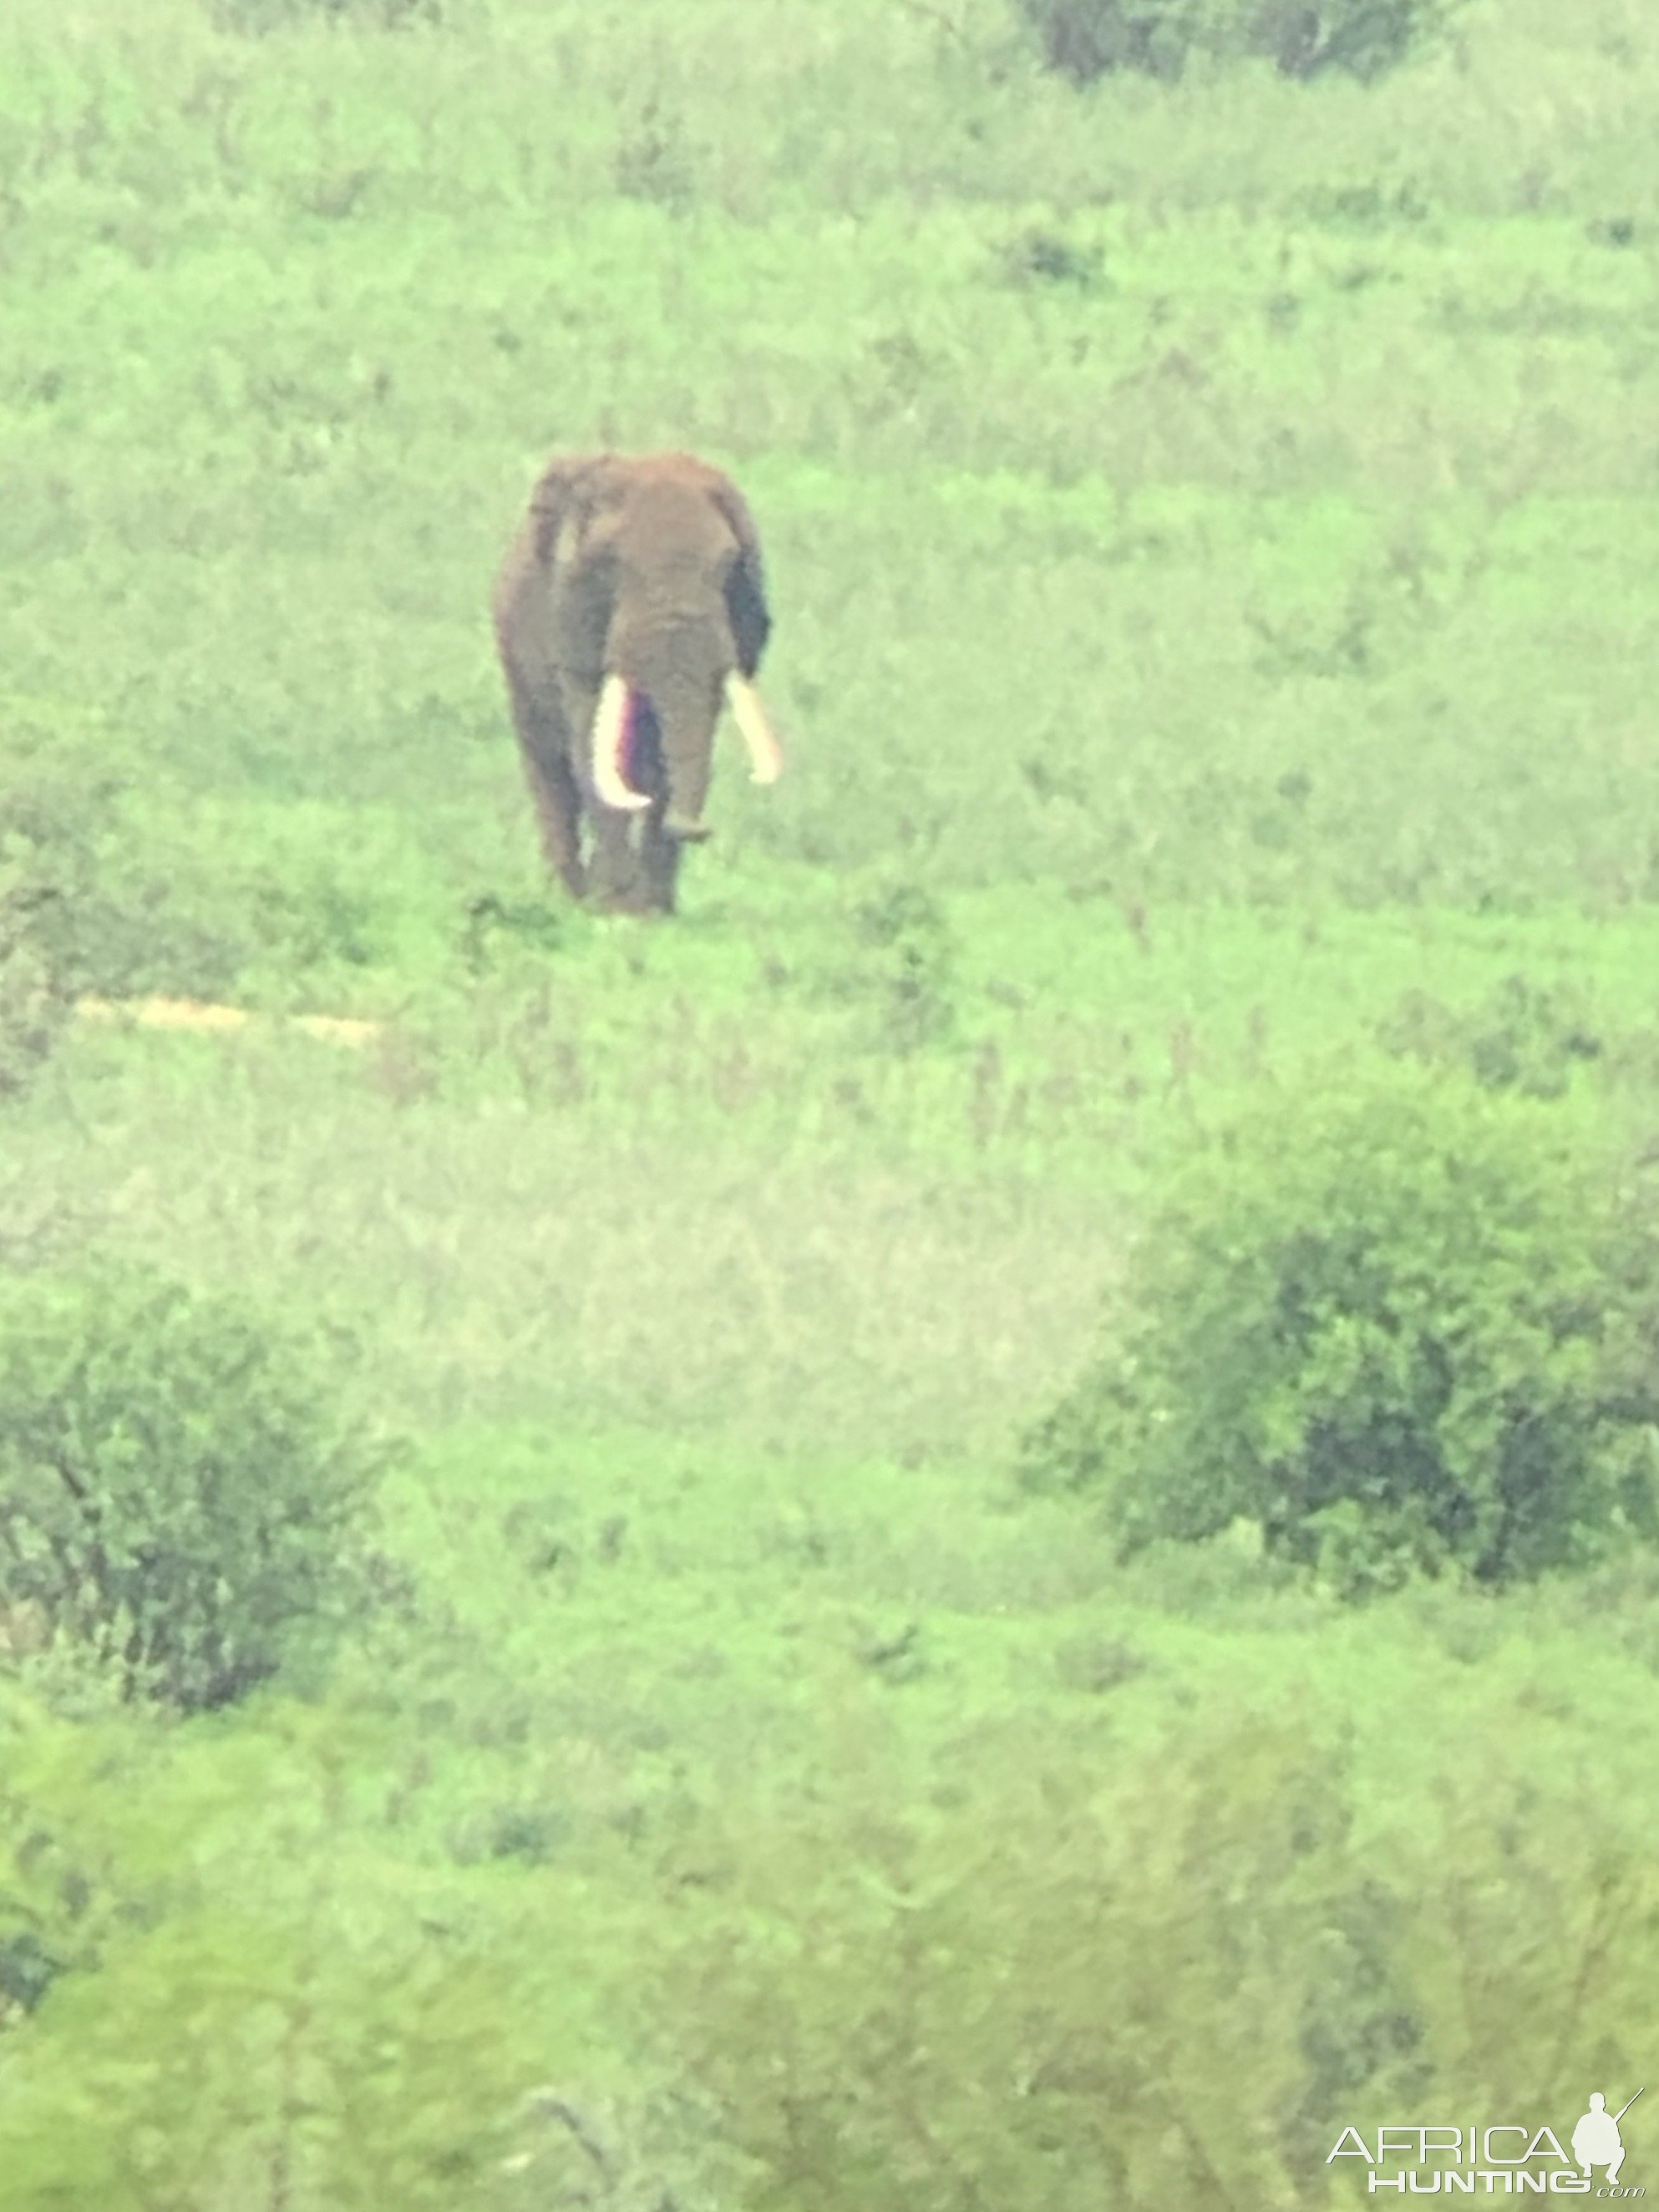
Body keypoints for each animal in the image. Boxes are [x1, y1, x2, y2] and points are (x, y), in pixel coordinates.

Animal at [486, 451, 787, 916]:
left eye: (729, 567)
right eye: (609, 565)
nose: (696, 829)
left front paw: (651, 912)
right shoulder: (571, 625)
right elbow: (591, 739)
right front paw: (611, 908)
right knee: (549, 765)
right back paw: (567, 895)